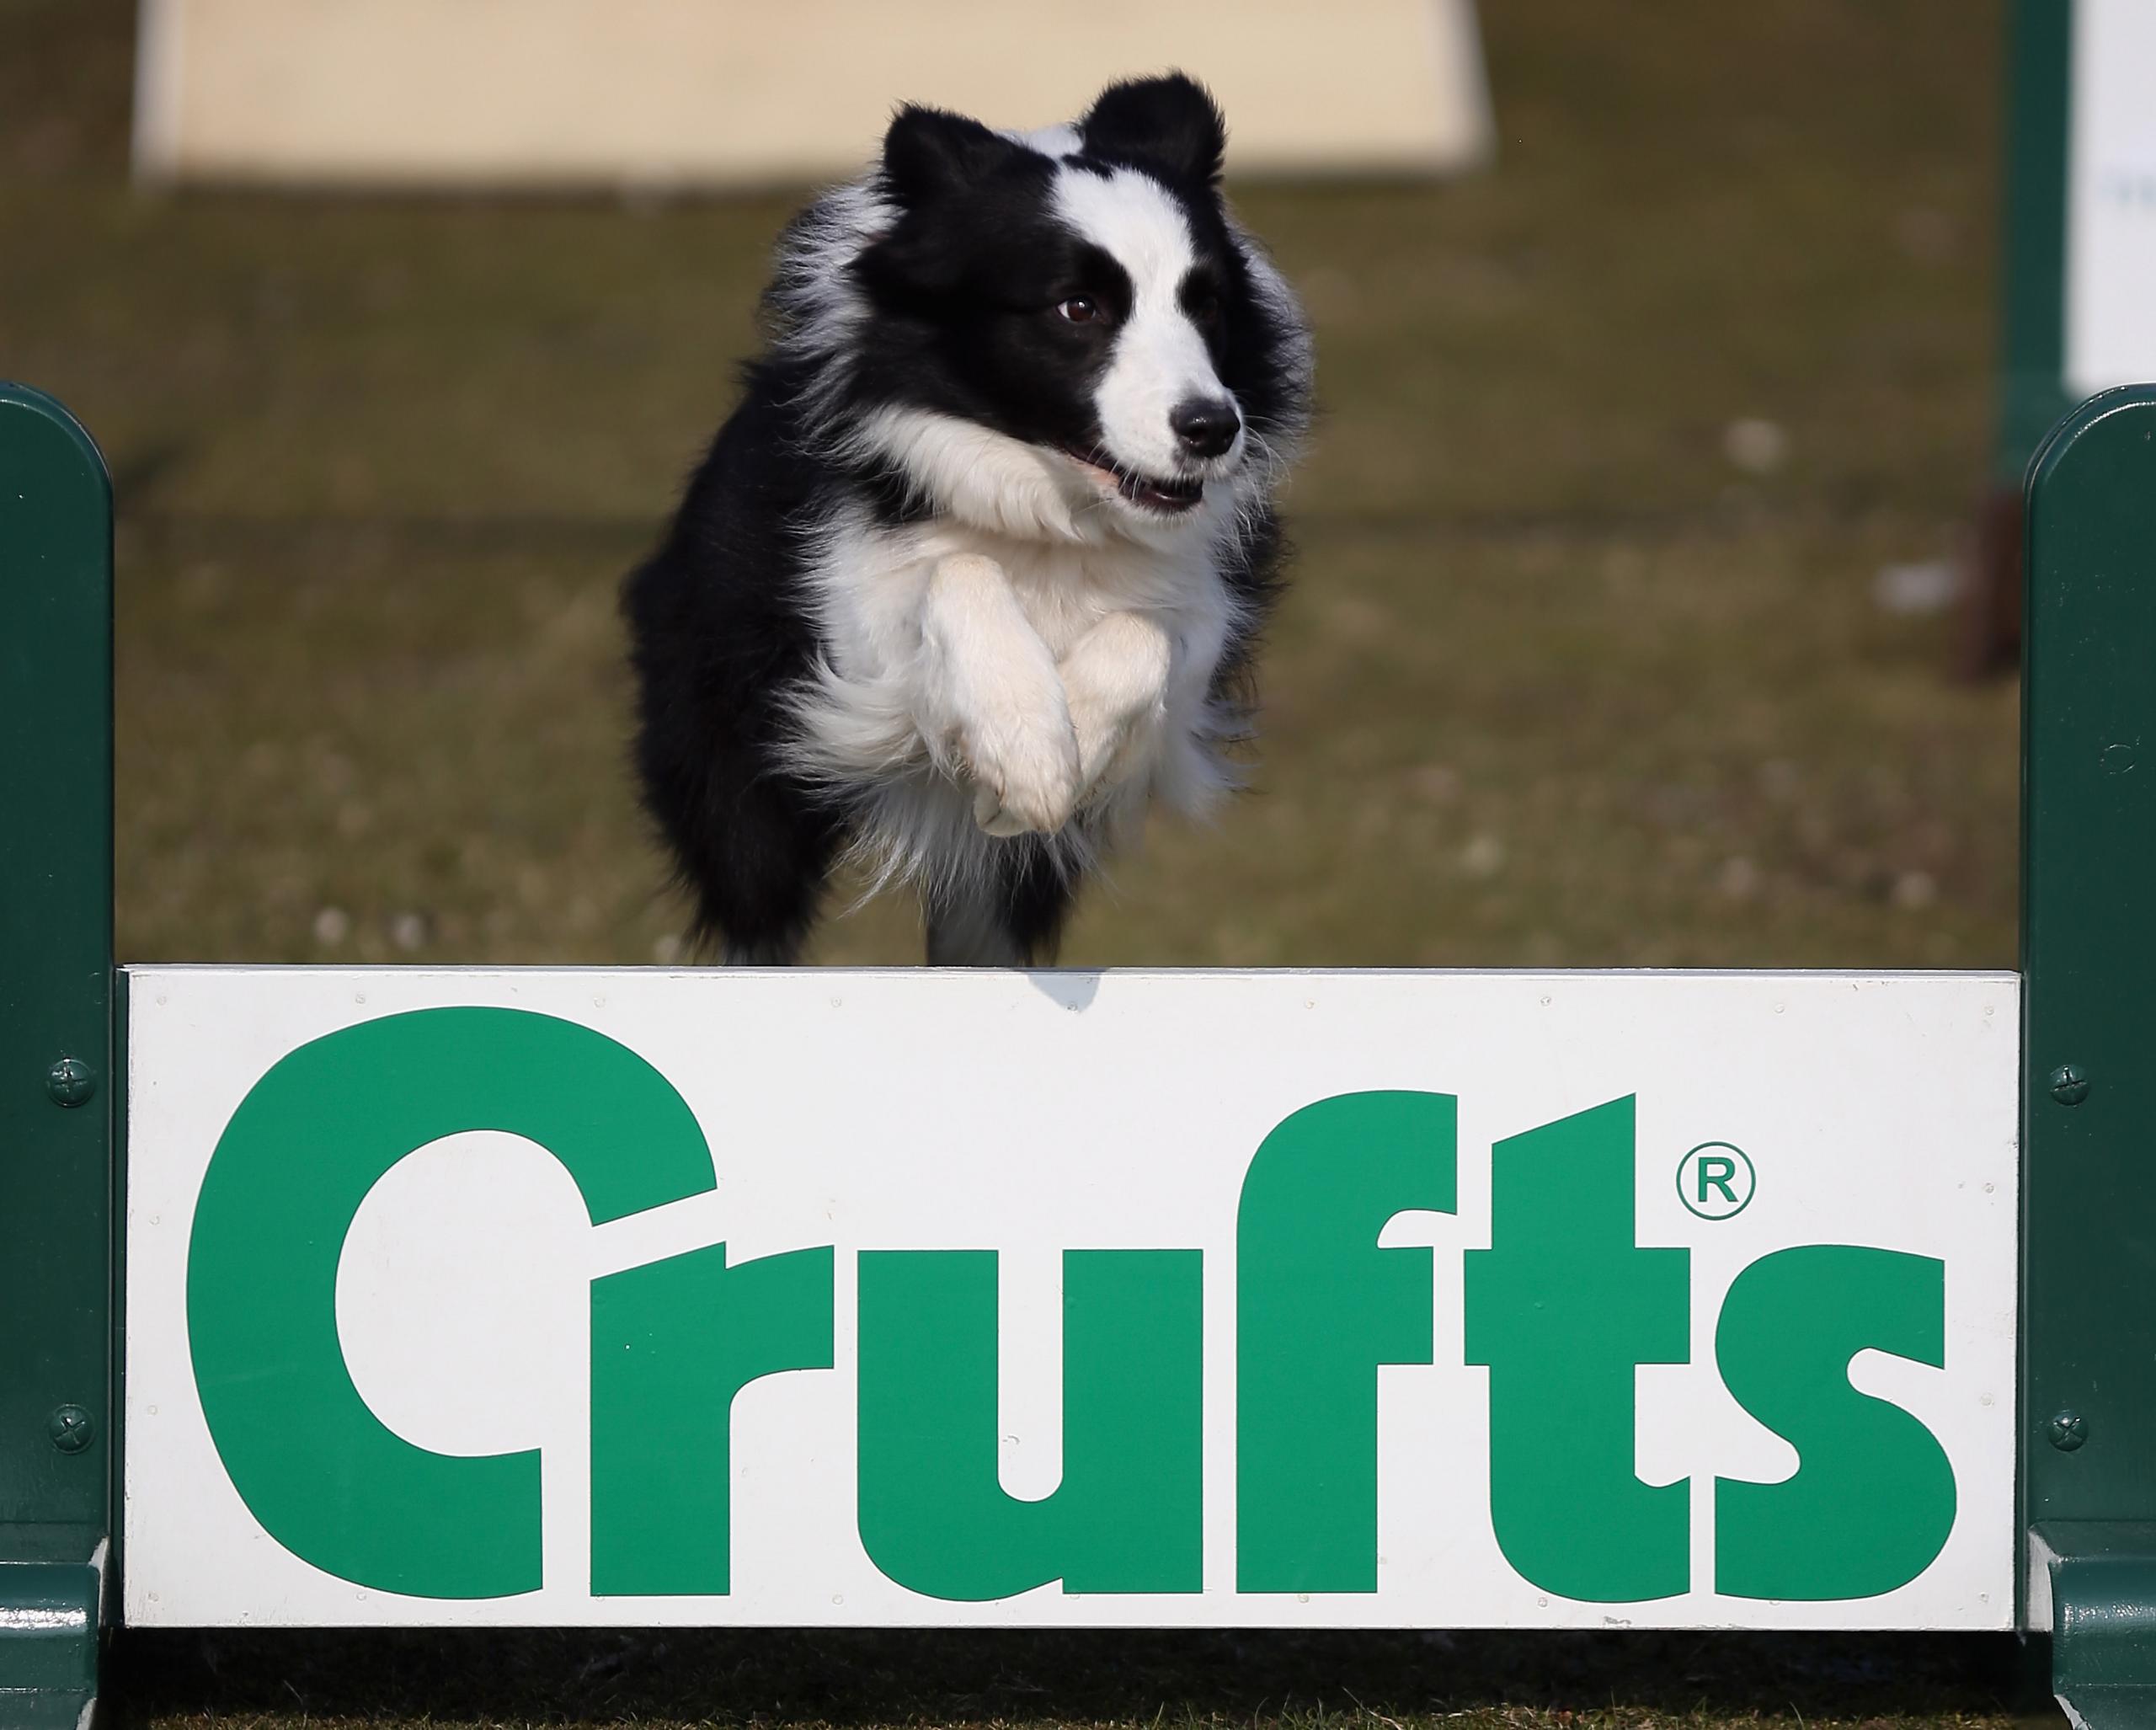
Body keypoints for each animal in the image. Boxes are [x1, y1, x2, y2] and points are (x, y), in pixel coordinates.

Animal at [616, 74, 1302, 962]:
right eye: (1078, 307)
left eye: (1206, 303)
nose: (1212, 429)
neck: (1050, 509)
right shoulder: (846, 621)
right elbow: (955, 568)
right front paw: (1030, 749)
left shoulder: (1205, 608)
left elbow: (1150, 634)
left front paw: (1068, 749)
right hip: (730, 751)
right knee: (753, 901)